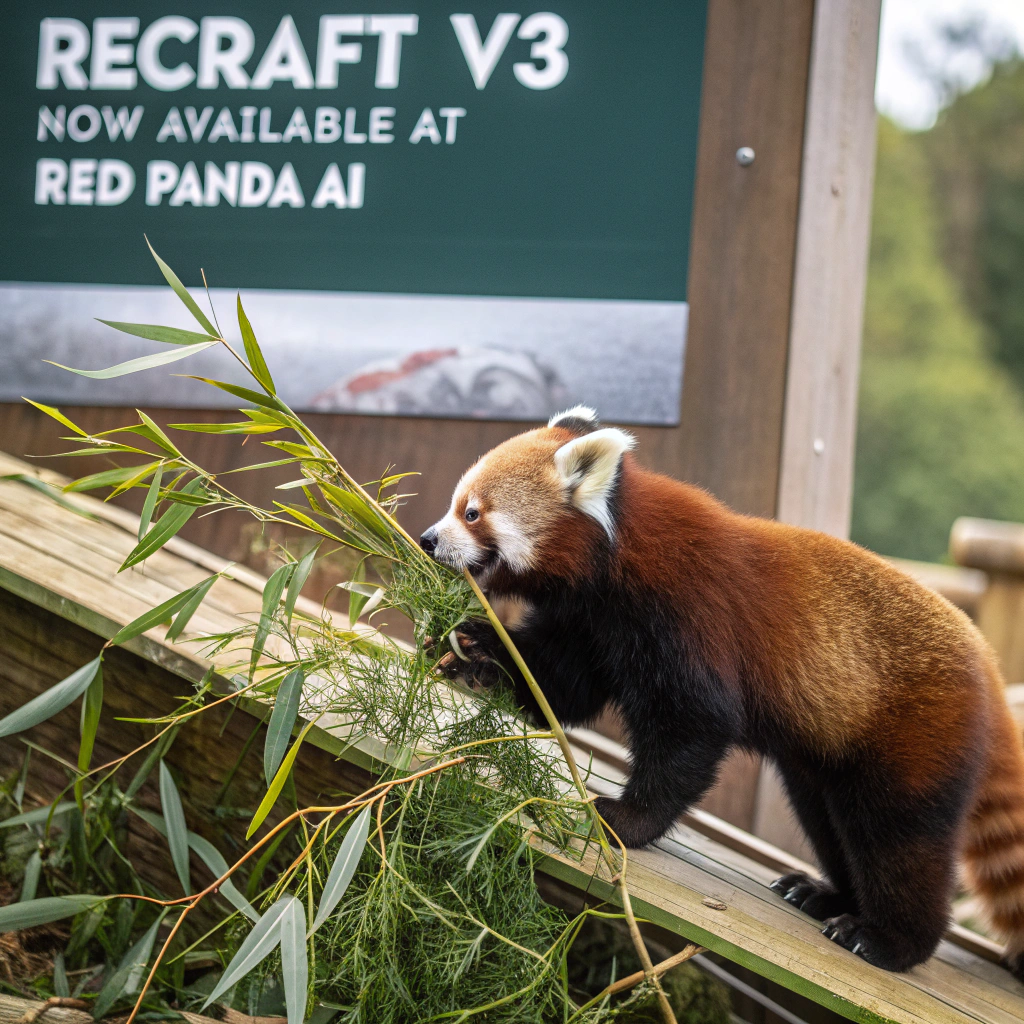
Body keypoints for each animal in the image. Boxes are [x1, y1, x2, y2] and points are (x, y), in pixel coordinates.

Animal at [419, 406, 1024, 979]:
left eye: (471, 512)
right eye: (455, 505)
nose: (426, 538)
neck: (614, 557)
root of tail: (991, 675)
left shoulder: (685, 614)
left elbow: (692, 728)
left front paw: (625, 820)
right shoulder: (591, 625)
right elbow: (558, 684)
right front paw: (474, 648)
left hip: (915, 737)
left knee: (898, 839)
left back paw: (887, 940)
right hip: (824, 764)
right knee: (831, 822)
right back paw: (826, 895)